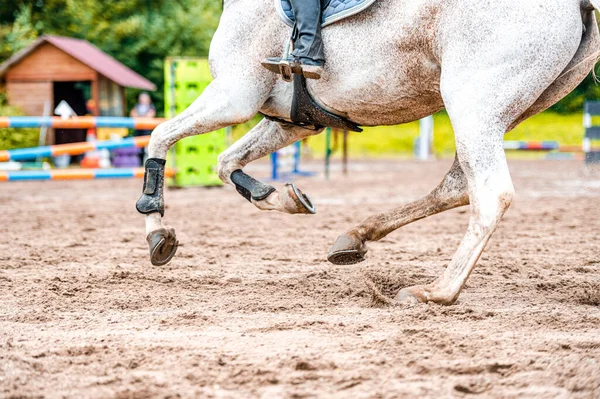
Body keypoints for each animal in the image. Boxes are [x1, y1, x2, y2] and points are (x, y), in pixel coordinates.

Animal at [136, 0, 600, 306]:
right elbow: (224, 162)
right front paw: (284, 197)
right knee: (455, 188)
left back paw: (437, 291)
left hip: (473, 105)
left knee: (489, 194)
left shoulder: (234, 96)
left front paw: (157, 231)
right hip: (503, 115)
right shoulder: (291, 119)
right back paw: (356, 237)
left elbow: (158, 137)